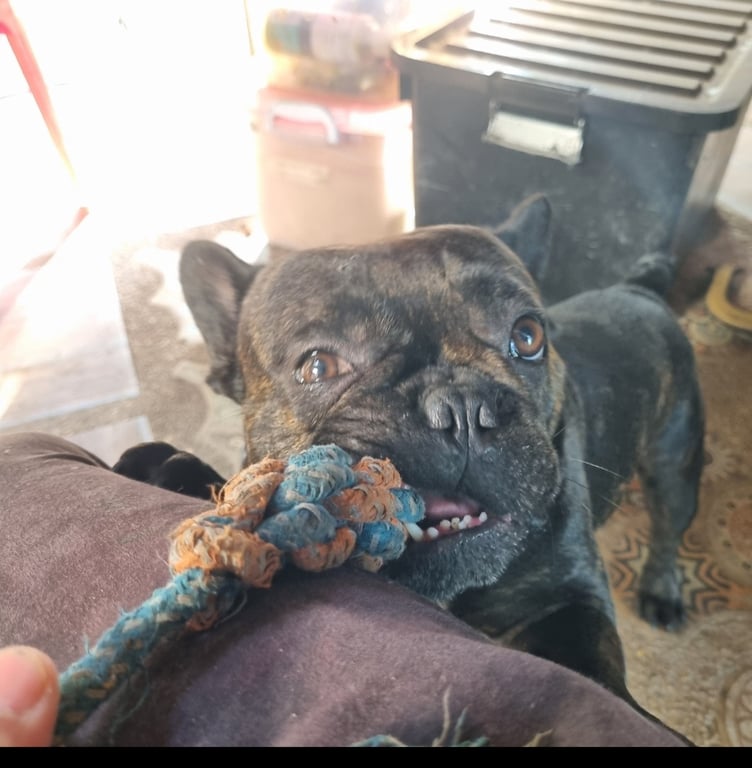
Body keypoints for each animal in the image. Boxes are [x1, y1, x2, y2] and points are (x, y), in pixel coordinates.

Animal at [114, 195, 704, 716]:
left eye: (528, 336)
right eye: (317, 366)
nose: (463, 408)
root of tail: (638, 288)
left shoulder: (570, 596)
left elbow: (584, 658)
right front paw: (171, 470)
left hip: (677, 462)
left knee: (669, 527)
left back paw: (662, 592)